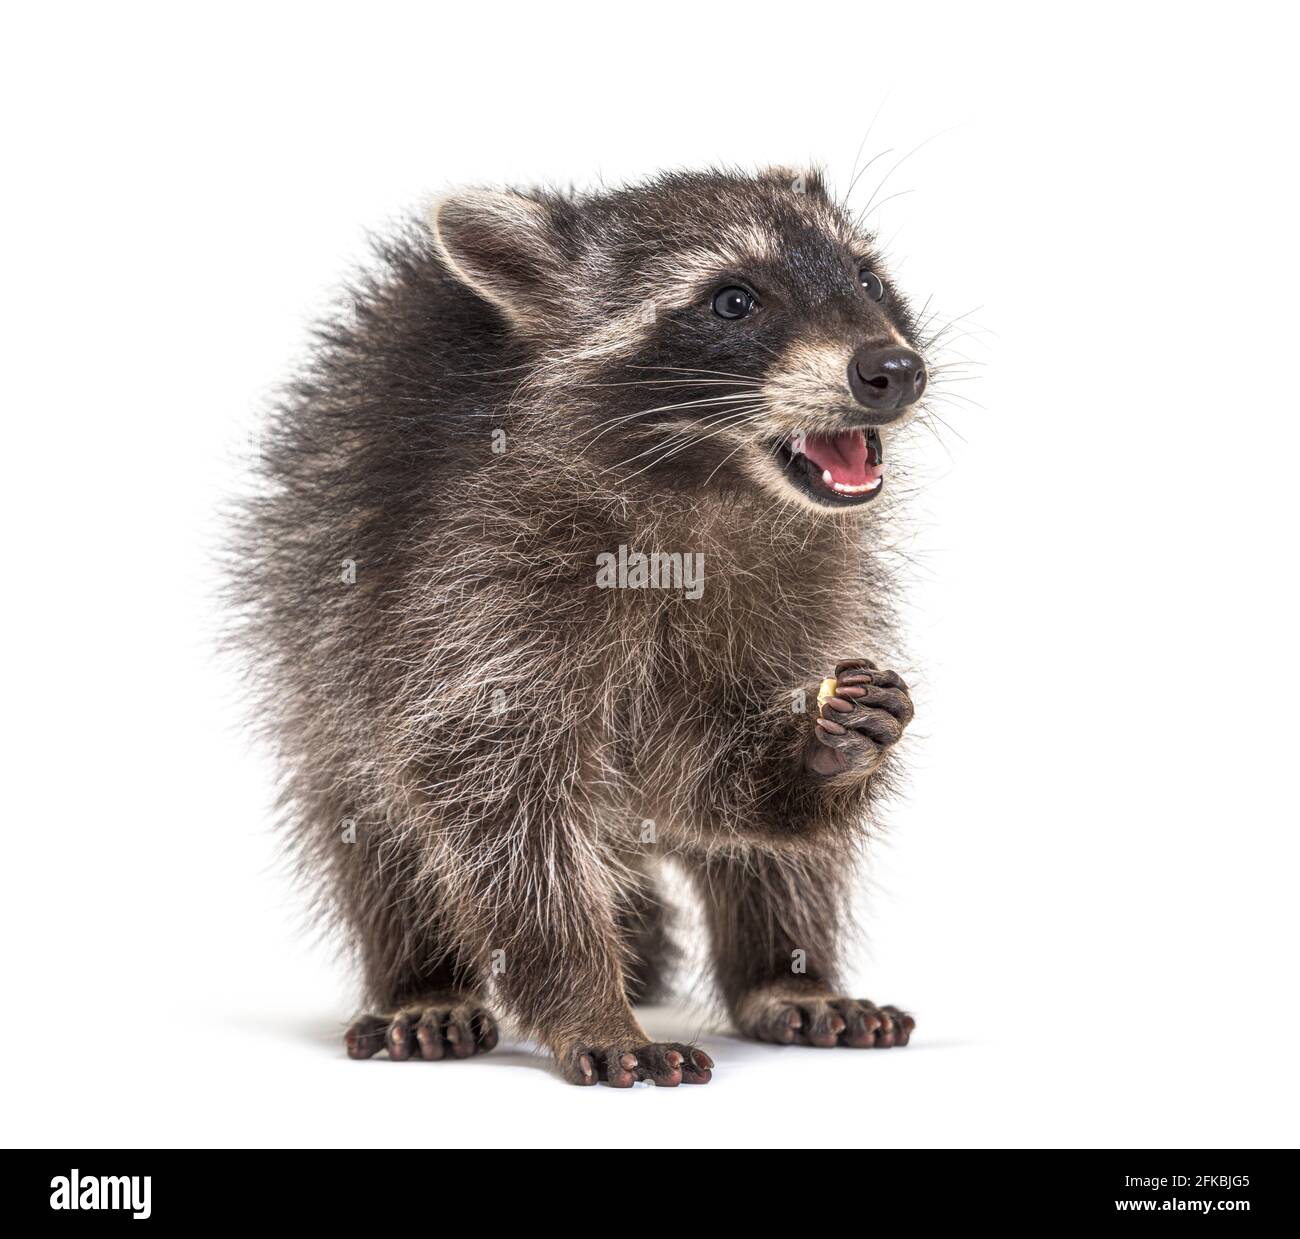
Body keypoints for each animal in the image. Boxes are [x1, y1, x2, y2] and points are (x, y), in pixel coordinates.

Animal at [231, 167, 935, 1086]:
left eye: (868, 279)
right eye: (733, 301)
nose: (893, 367)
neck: (712, 485)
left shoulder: (814, 589)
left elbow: (713, 782)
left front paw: (821, 753)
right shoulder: (469, 589)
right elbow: (491, 799)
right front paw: (588, 1000)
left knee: (789, 858)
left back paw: (785, 969)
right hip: (317, 644)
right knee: (372, 823)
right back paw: (421, 980)